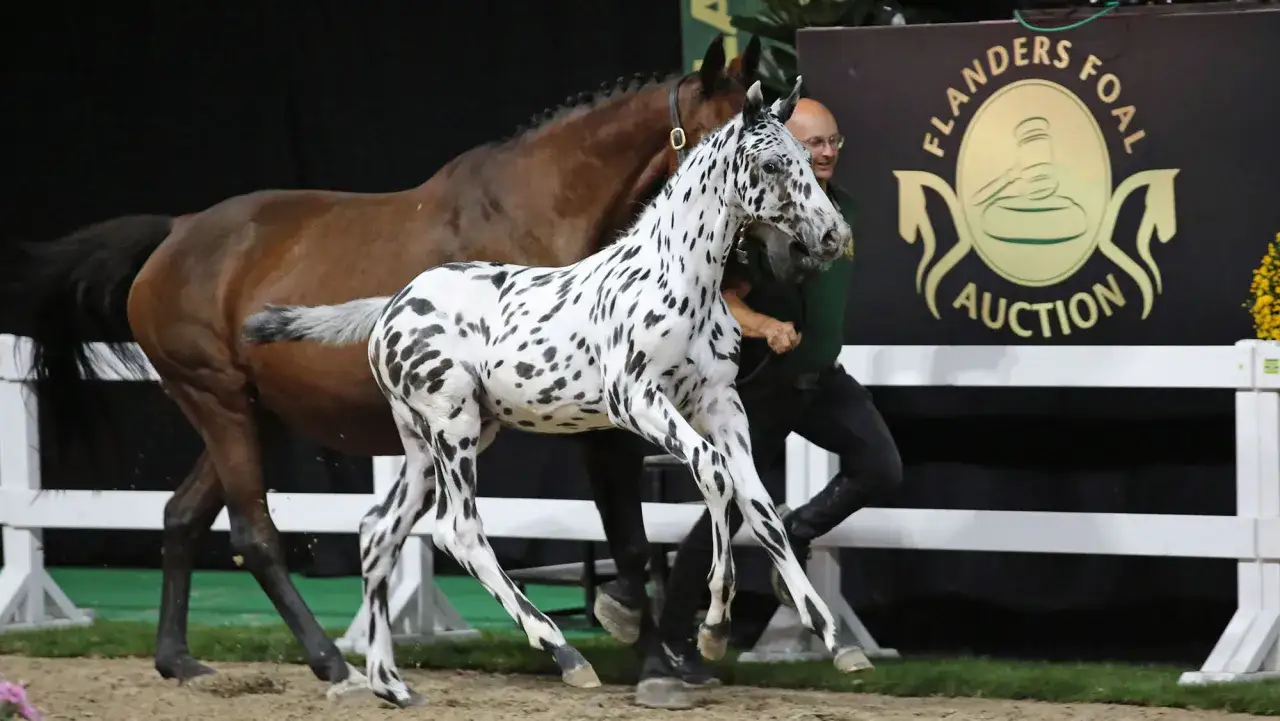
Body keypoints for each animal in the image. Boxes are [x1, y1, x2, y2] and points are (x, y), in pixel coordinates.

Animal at [9, 34, 761, 690]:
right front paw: (652, 656)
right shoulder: (597, 416)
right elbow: (628, 536)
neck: (539, 217)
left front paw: (658, 647)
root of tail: (174, 233)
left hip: (254, 414)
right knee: (254, 533)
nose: (773, 258)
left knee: (181, 516)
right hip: (218, 402)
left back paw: (180, 660)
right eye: (730, 140)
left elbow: (634, 535)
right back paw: (330, 662)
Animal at [240, 76, 864, 708]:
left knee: (377, 532)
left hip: (426, 443)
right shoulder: (635, 400)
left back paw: (389, 682)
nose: (832, 236)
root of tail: (392, 303)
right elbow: (712, 476)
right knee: (458, 531)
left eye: (808, 156)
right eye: (771, 163)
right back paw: (564, 652)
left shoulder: (720, 402)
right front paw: (712, 628)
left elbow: (761, 509)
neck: (676, 279)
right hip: (454, 426)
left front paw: (831, 638)